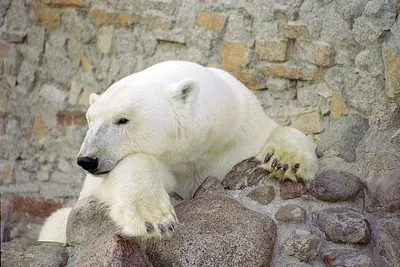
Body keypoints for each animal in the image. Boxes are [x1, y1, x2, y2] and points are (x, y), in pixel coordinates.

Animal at [39, 61, 318, 243]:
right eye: (90, 119)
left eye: (122, 120)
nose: (87, 160)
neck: (196, 149)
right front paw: (155, 220)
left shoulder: (238, 130)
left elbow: (276, 132)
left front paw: (286, 162)